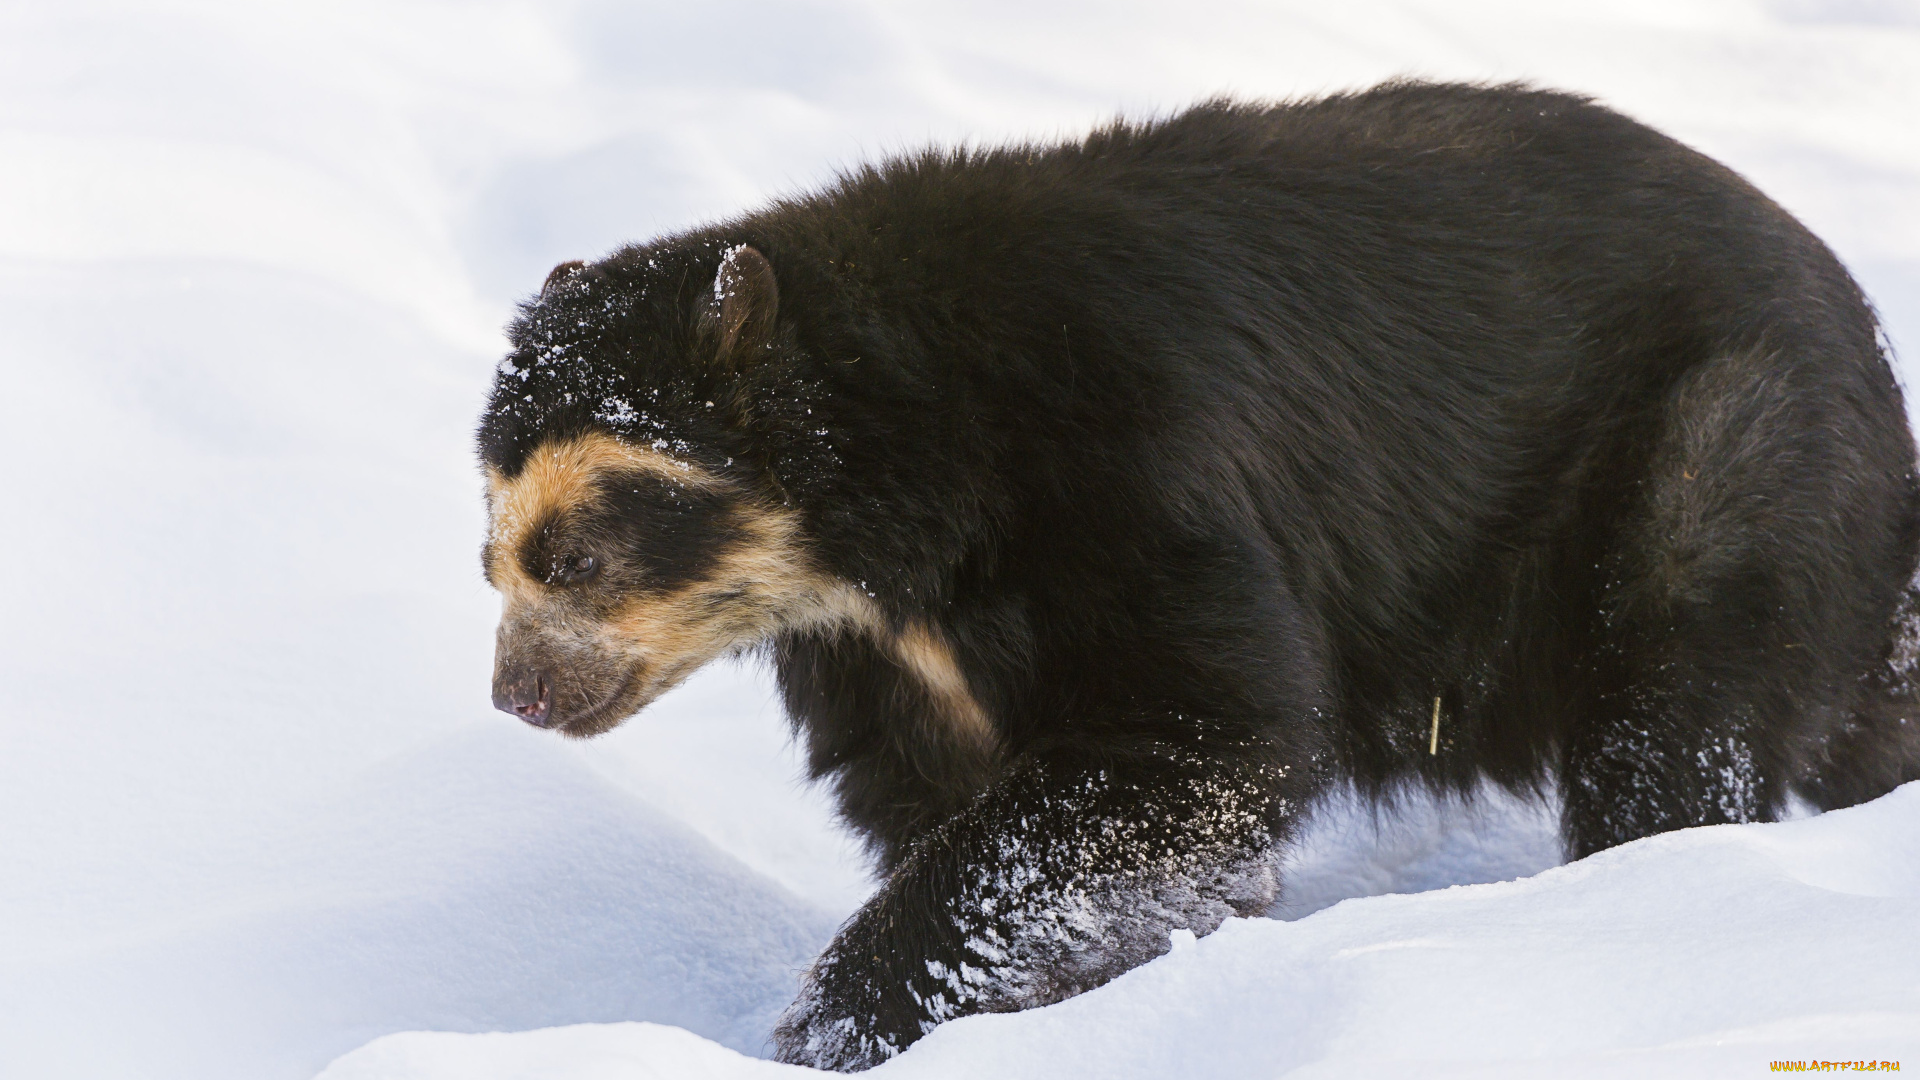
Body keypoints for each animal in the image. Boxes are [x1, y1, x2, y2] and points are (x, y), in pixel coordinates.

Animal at [472, 77, 1920, 1068]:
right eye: (488, 559)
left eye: (575, 553)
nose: (517, 698)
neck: (895, 537)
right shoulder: (881, 660)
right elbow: (945, 802)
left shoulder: (1134, 479)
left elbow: (1192, 740)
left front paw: (844, 1021)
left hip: (1721, 452)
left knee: (1677, 717)